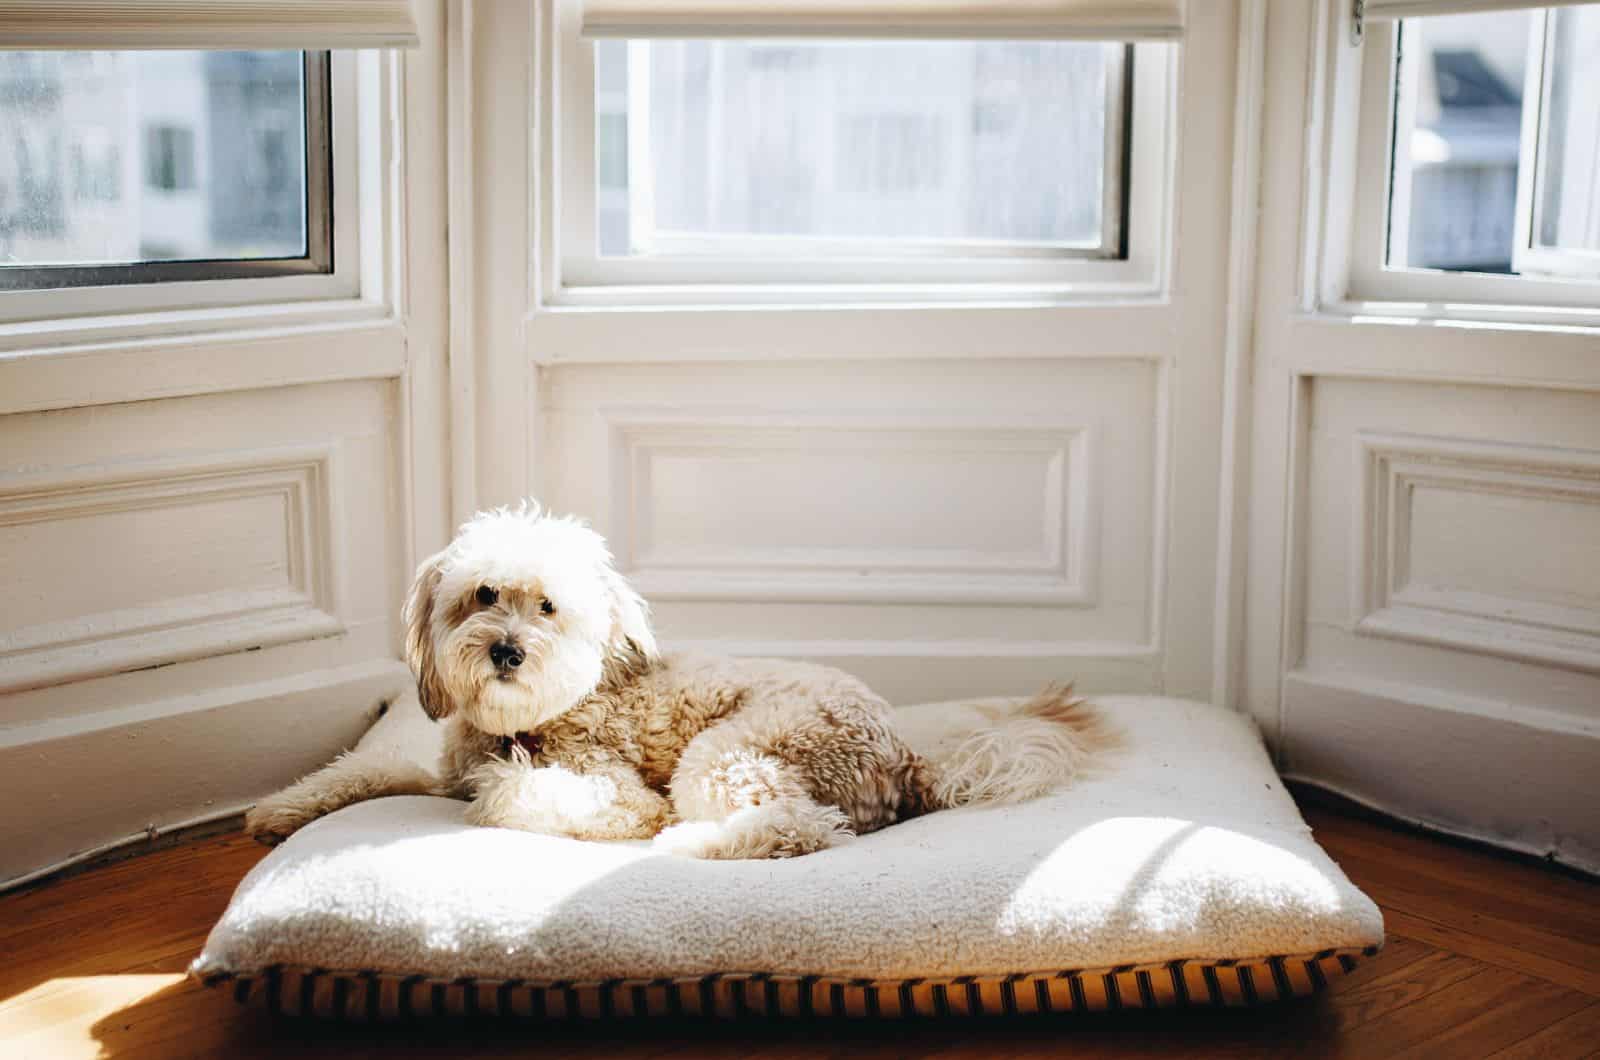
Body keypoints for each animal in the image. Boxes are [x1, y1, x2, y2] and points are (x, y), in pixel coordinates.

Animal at [246, 505, 1113, 864]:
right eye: (483, 595)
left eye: (548, 607)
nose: (506, 651)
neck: (526, 721)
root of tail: (906, 757)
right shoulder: (435, 770)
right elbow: (365, 769)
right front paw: (279, 808)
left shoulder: (617, 791)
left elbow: (511, 794)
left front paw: (516, 786)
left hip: (729, 753)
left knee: (799, 827)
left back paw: (691, 843)